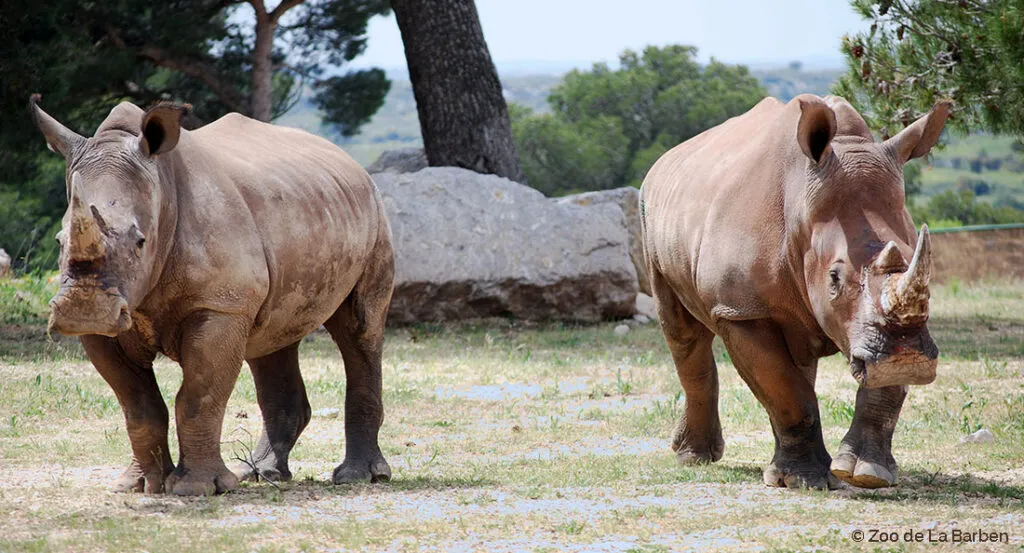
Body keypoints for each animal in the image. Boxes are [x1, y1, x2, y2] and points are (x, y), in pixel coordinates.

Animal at [31, 96, 394, 495]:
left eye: (140, 242)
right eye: (59, 241)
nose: (85, 310)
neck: (163, 191)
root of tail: (351, 163)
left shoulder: (221, 306)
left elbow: (198, 397)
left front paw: (197, 488)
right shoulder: (109, 325)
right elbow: (137, 405)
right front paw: (139, 485)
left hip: (375, 217)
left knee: (360, 328)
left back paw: (359, 477)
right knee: (272, 337)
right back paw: (259, 473)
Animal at [640, 94, 948, 489]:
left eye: (923, 265)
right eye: (834, 278)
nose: (907, 360)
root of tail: (664, 161)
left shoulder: (885, 330)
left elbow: (878, 386)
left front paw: (867, 474)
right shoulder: (740, 310)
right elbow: (786, 390)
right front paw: (803, 480)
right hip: (650, 216)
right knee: (682, 333)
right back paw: (694, 458)